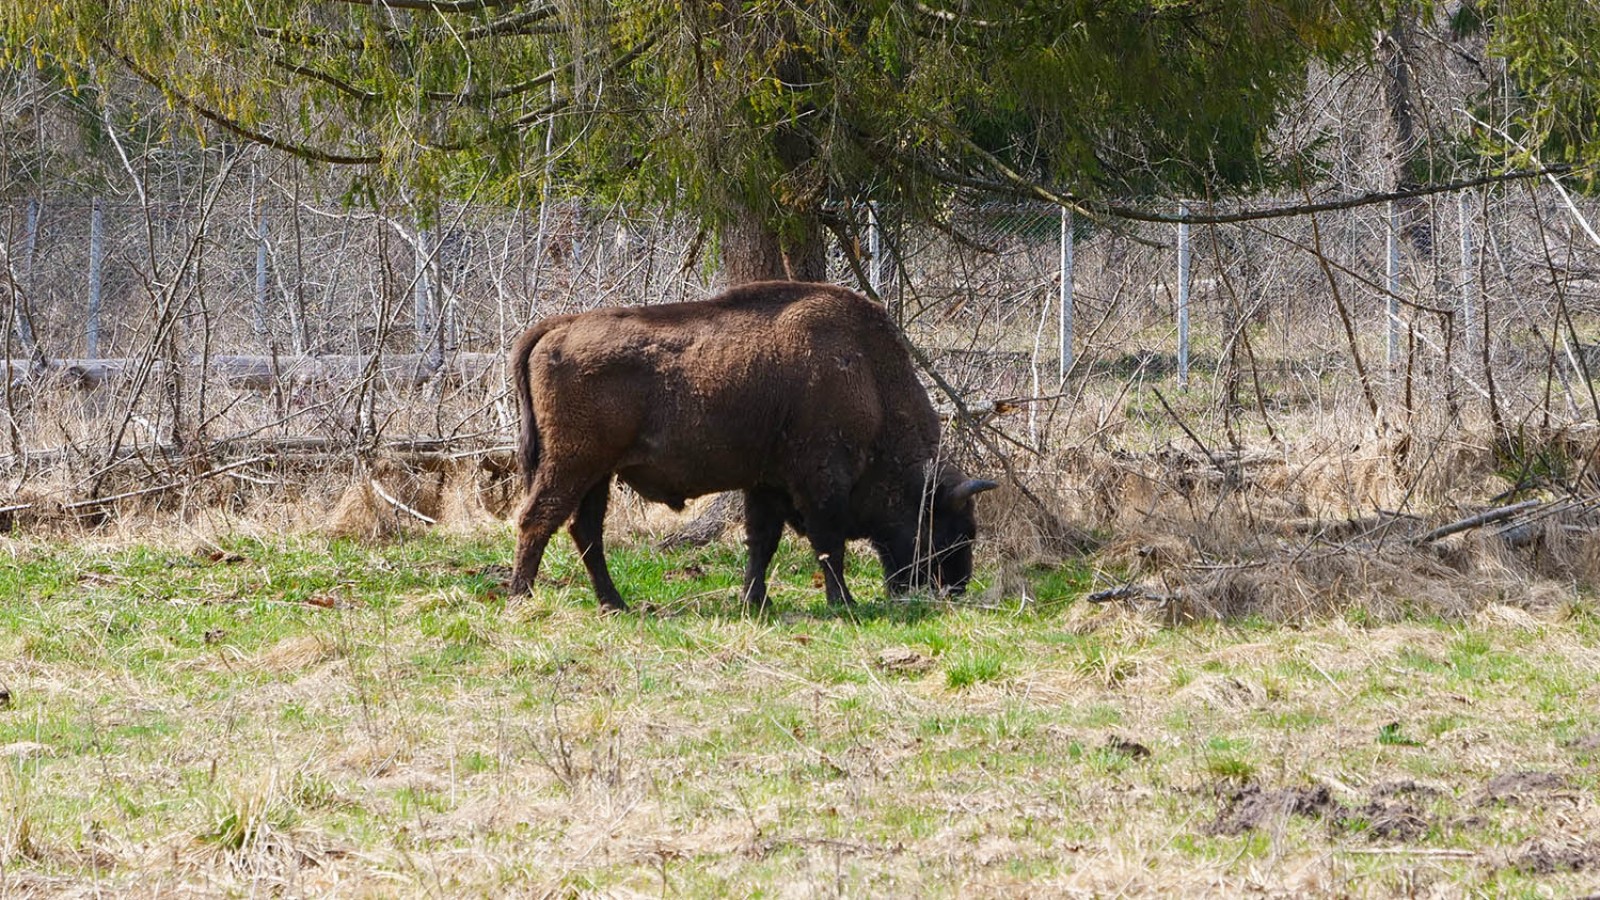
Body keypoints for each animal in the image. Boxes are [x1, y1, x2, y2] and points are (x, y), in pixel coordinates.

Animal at [505, 280, 992, 608]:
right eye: (954, 531)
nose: (956, 587)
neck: (868, 378)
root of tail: (560, 326)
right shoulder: (821, 482)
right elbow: (828, 543)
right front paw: (844, 602)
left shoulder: (767, 483)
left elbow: (762, 542)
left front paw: (755, 600)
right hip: (572, 464)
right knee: (537, 519)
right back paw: (521, 598)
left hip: (597, 474)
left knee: (584, 531)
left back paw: (614, 603)